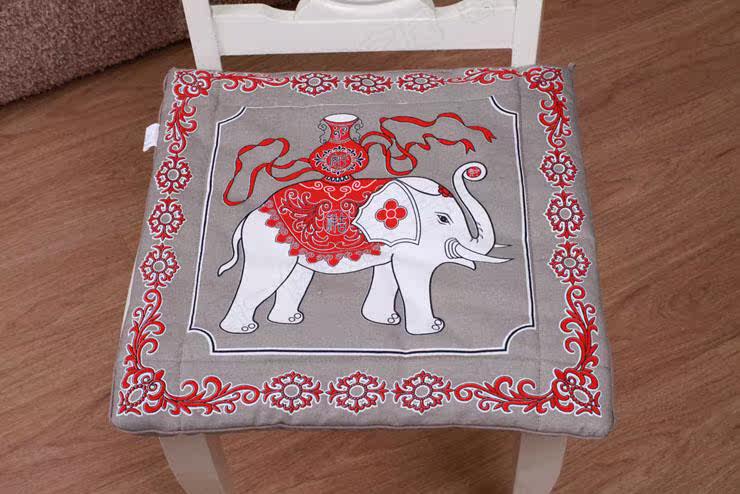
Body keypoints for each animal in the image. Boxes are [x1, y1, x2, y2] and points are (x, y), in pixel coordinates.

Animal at [217, 161, 510, 336]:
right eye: (442, 219)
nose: (475, 170)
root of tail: (247, 217)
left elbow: (390, 273)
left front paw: (388, 321)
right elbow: (412, 275)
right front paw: (433, 328)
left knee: (296, 278)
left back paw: (290, 320)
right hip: (268, 243)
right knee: (264, 278)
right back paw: (244, 329)